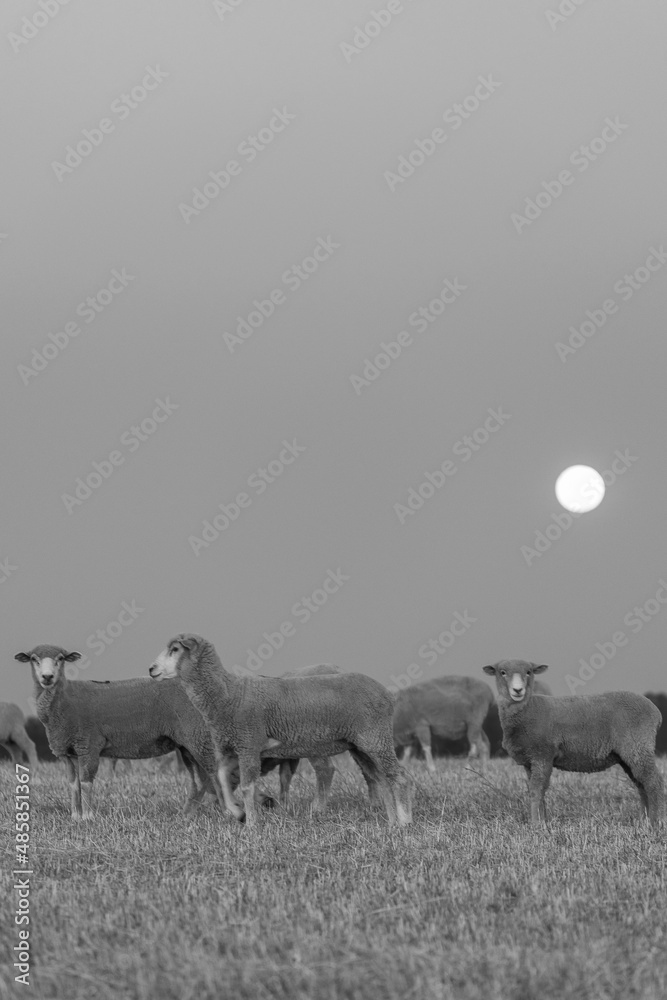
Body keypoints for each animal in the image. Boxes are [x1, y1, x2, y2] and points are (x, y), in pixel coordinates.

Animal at [149, 633, 412, 828]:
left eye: (175, 649)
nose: (151, 669)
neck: (228, 695)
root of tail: (387, 694)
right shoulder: (231, 748)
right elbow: (223, 778)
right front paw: (237, 812)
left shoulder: (249, 744)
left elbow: (246, 786)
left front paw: (252, 824)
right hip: (360, 745)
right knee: (381, 778)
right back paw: (391, 822)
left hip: (375, 737)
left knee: (398, 776)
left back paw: (404, 821)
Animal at [483, 659, 665, 826]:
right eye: (502, 672)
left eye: (529, 672)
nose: (518, 690)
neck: (528, 709)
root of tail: (656, 712)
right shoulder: (530, 761)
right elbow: (536, 789)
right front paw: (543, 820)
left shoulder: (543, 755)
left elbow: (537, 789)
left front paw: (536, 824)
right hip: (629, 754)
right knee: (641, 784)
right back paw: (643, 821)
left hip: (637, 745)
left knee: (653, 782)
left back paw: (655, 822)